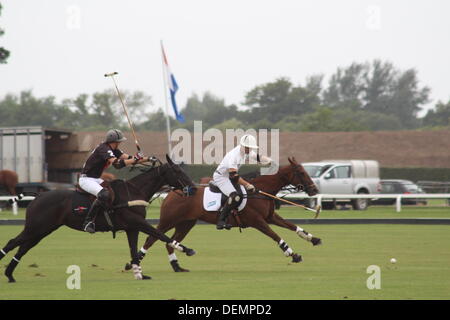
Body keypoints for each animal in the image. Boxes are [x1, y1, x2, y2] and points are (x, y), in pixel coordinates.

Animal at [0, 156, 197, 282]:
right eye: (177, 171)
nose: (194, 188)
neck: (135, 191)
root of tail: (38, 196)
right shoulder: (137, 222)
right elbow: (159, 234)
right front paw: (187, 249)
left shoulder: (131, 228)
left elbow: (134, 250)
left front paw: (139, 274)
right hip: (35, 227)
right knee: (12, 242)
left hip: (43, 230)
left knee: (23, 248)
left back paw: (10, 275)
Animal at [126, 156, 322, 272]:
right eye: (302, 172)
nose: (314, 190)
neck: (260, 191)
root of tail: (173, 191)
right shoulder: (257, 221)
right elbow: (275, 236)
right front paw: (293, 254)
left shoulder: (270, 217)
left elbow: (293, 226)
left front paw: (314, 239)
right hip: (169, 220)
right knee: (152, 238)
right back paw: (133, 263)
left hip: (186, 223)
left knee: (170, 242)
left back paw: (177, 267)